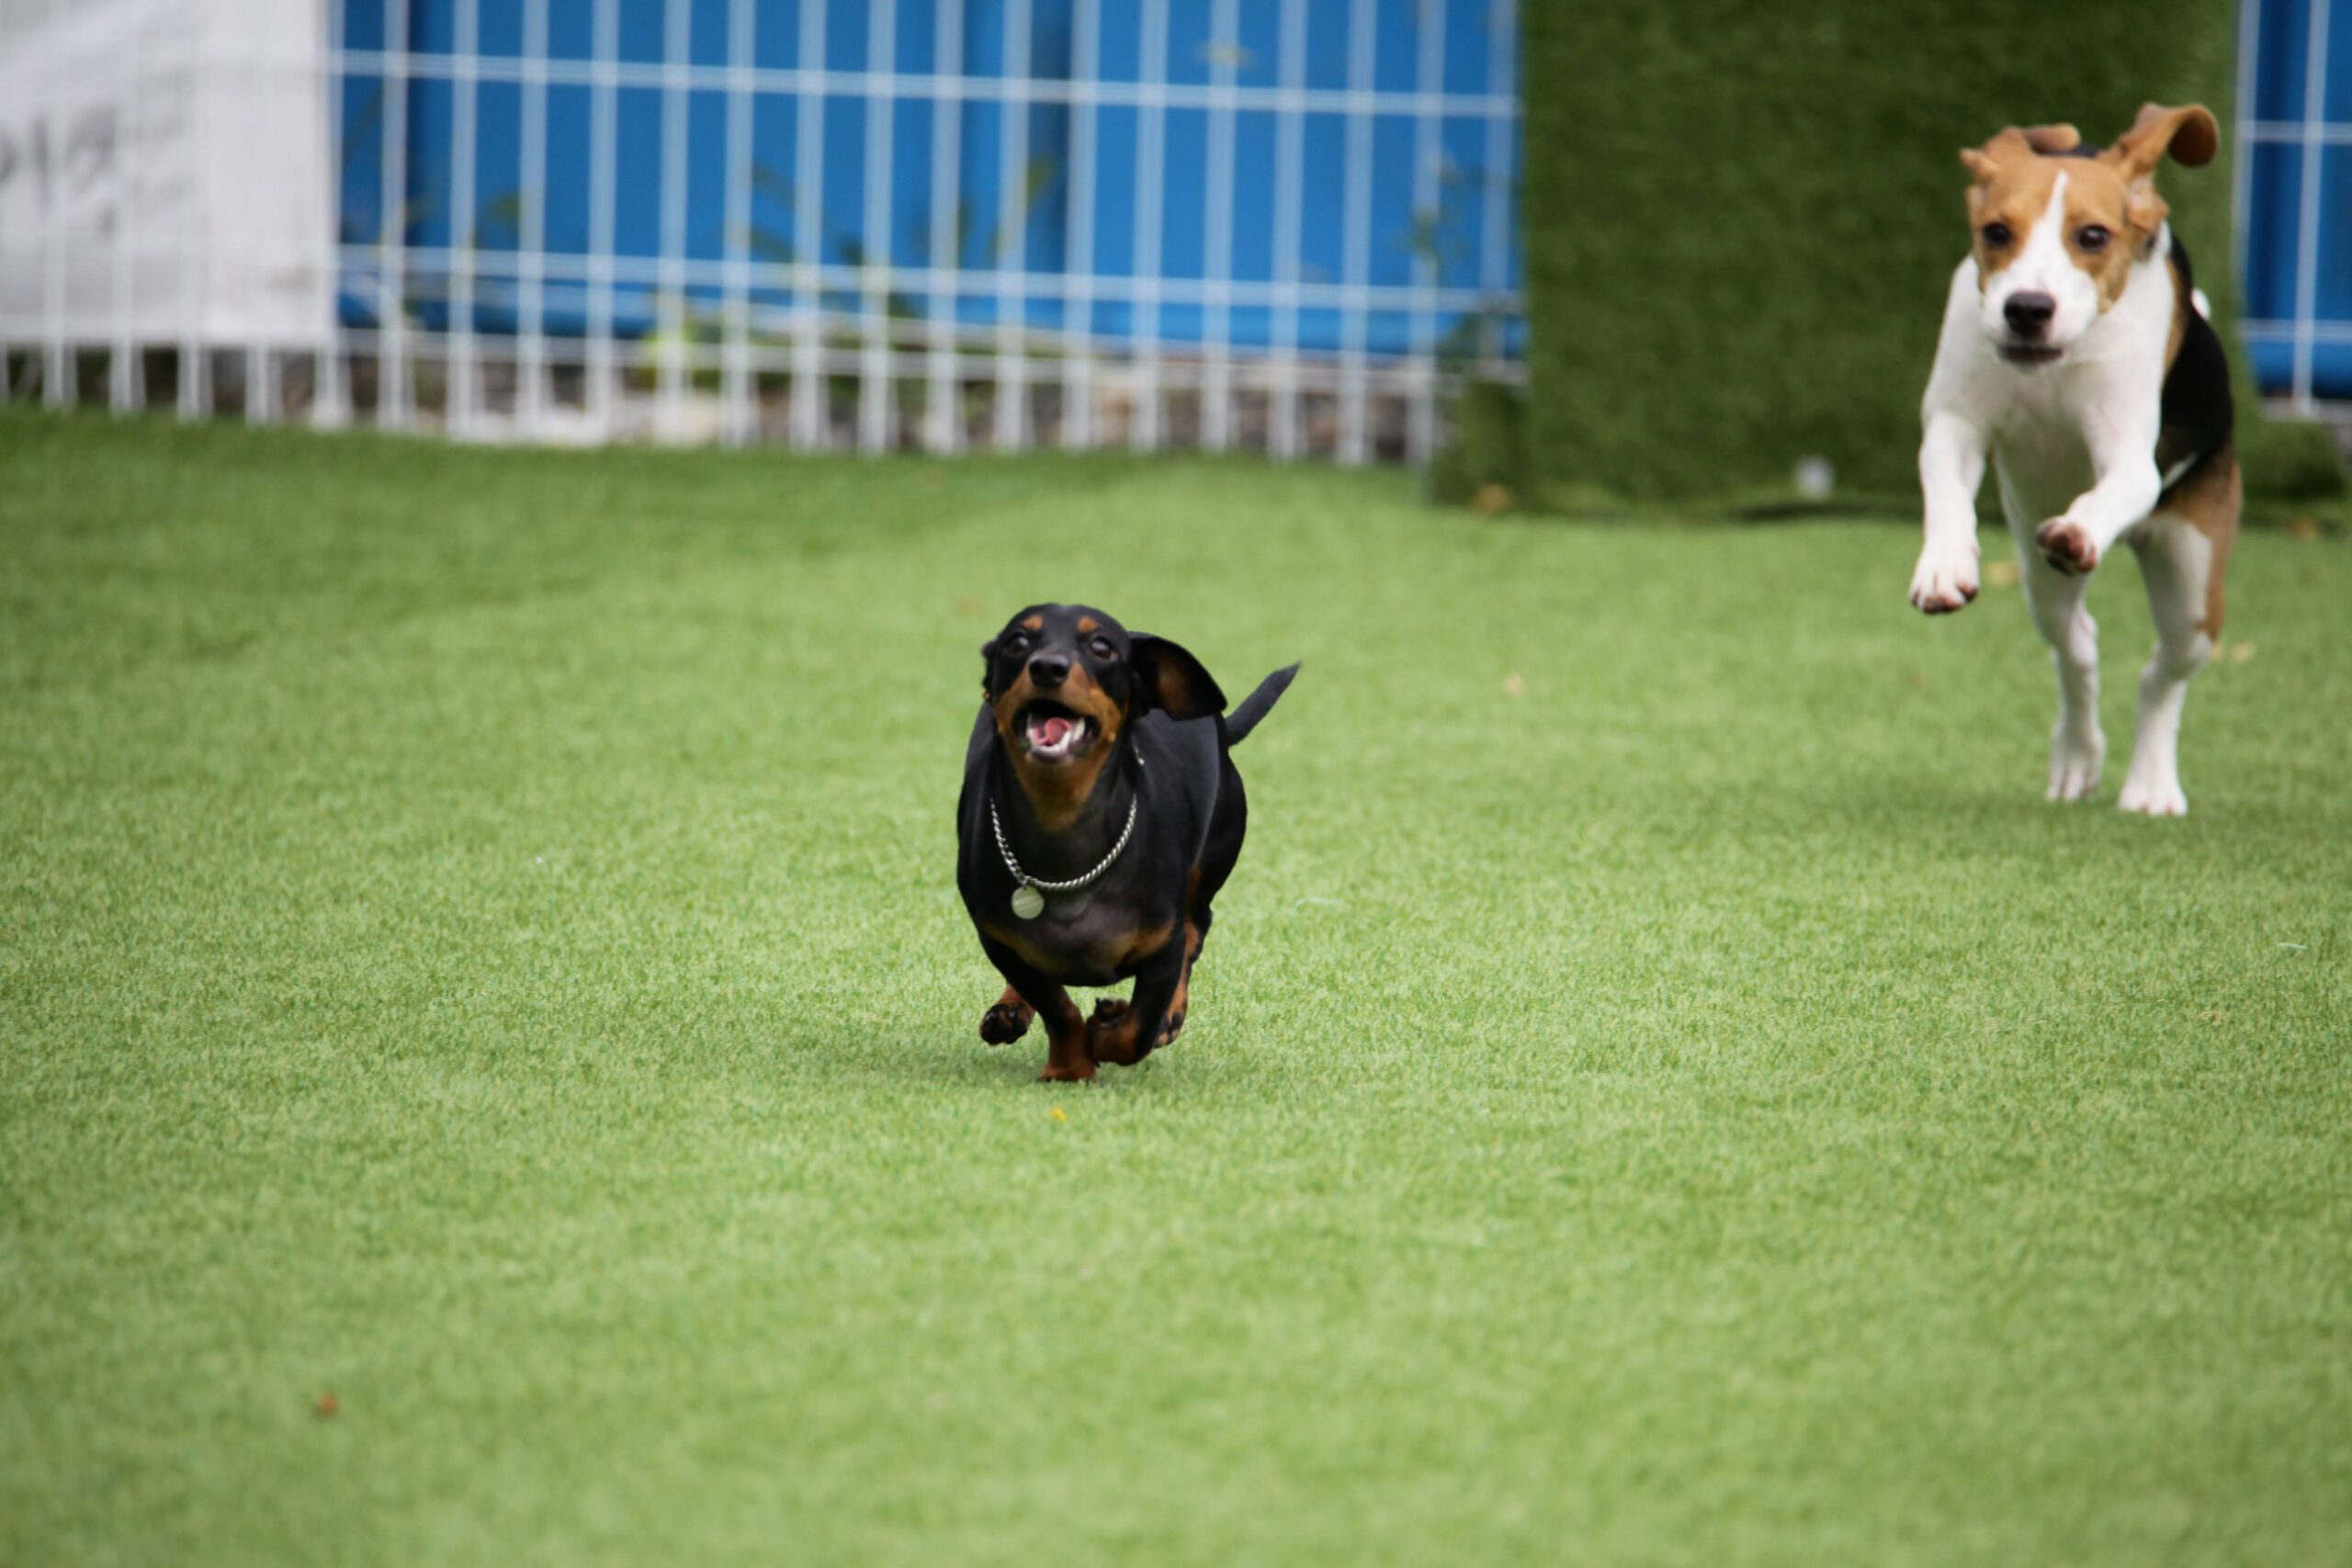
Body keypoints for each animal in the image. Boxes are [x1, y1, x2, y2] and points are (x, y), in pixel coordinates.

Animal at [1909, 104, 2239, 818]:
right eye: (1996, 232)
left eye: (2092, 236)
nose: (2027, 309)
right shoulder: (1954, 419)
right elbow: (1945, 487)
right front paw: (1945, 565)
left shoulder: (2130, 457)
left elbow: (2113, 484)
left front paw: (2081, 528)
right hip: (2040, 585)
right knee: (2078, 645)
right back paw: (2078, 755)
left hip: (2193, 583)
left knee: (2161, 674)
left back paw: (2150, 783)